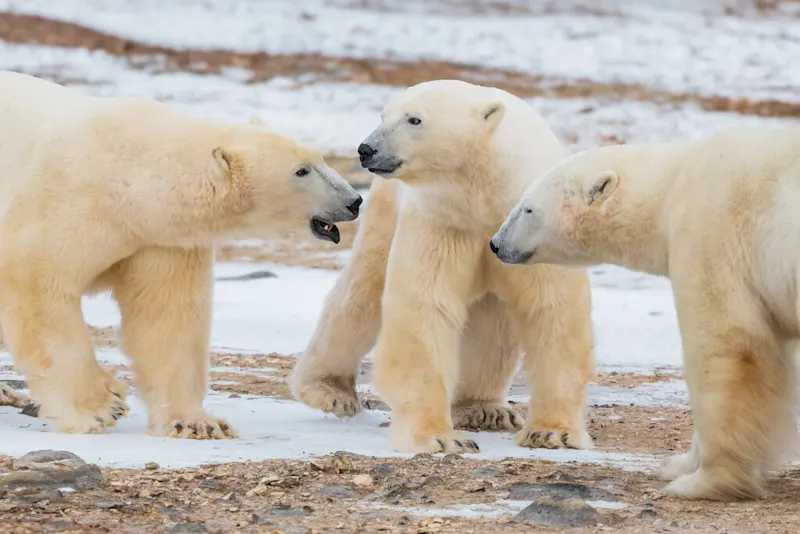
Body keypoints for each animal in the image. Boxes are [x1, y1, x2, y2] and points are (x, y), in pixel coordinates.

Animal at [0, 71, 362, 439]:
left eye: (320, 159)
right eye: (301, 170)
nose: (354, 200)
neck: (131, 177)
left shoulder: (163, 238)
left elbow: (168, 314)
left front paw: (197, 423)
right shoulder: (66, 201)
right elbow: (36, 283)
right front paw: (101, 407)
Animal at [291, 79, 595, 454]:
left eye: (415, 119)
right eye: (383, 115)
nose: (366, 149)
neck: (485, 195)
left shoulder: (531, 230)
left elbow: (552, 309)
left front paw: (553, 432)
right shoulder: (442, 221)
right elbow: (426, 306)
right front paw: (439, 437)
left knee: (492, 322)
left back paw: (486, 409)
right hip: (386, 209)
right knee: (361, 294)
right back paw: (329, 391)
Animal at [490, 123, 800, 500]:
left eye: (528, 209)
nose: (495, 244)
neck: (671, 184)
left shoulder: (711, 235)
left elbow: (726, 348)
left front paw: (704, 481)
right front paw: (681, 463)